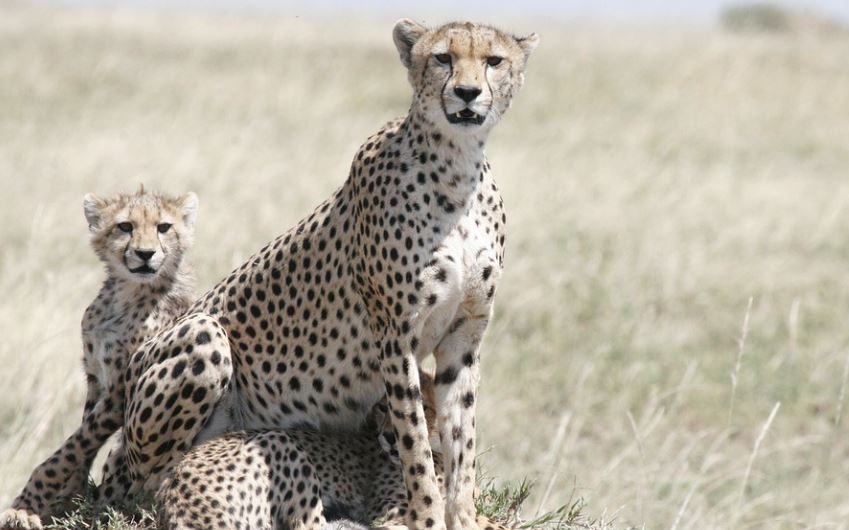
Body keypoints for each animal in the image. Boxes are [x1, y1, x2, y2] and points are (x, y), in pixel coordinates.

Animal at [0, 187, 199, 529]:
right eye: (125, 226)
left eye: (164, 227)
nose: (145, 254)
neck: (127, 294)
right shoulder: (96, 377)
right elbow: (81, 439)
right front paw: (70, 497)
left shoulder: (122, 388)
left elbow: (73, 446)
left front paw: (26, 505)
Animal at [105, 19, 538, 530]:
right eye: (443, 58)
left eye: (494, 61)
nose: (468, 93)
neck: (457, 167)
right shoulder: (395, 335)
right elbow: (415, 445)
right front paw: (428, 515)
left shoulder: (463, 335)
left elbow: (461, 440)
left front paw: (464, 515)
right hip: (202, 337)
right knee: (149, 486)